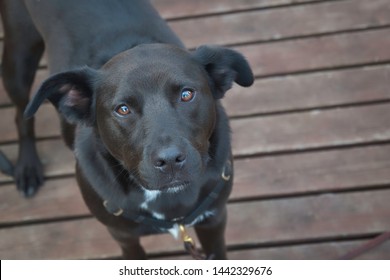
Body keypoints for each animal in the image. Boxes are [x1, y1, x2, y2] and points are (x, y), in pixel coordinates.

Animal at [1, 0, 254, 260]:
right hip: (18, 57)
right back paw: (28, 167)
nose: (170, 161)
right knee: (21, 114)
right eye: (122, 109)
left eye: (187, 94)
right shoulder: (123, 236)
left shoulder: (213, 220)